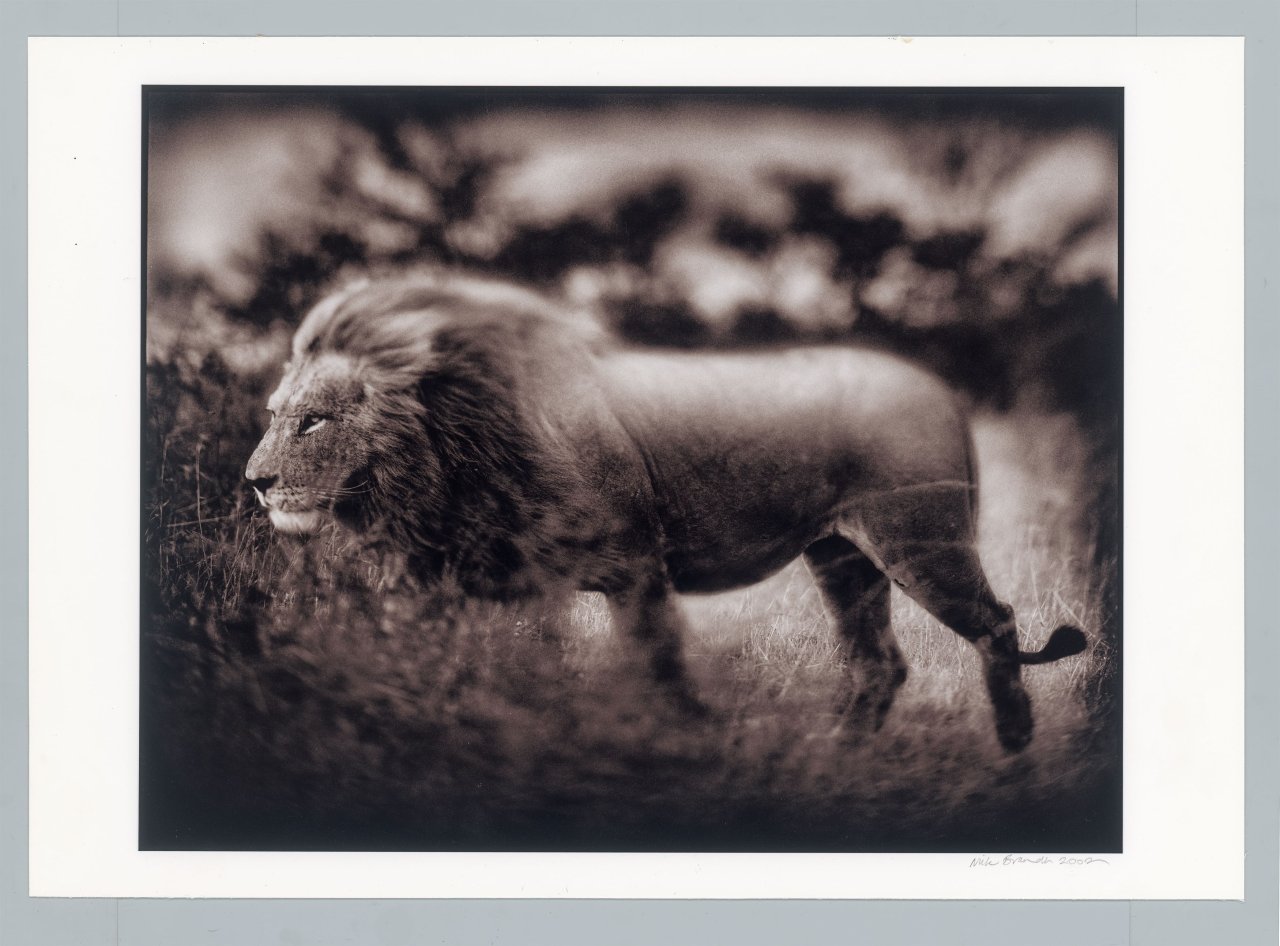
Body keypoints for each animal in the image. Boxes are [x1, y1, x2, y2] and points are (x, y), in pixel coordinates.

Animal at [245, 274, 1086, 753]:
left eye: (313, 422)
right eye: (274, 413)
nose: (254, 480)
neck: (446, 446)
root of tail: (939, 388)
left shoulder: (633, 565)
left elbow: (657, 669)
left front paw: (681, 745)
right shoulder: (448, 585)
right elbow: (454, 670)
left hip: (921, 542)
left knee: (997, 623)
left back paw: (1015, 749)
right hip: (843, 558)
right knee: (878, 662)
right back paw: (834, 753)